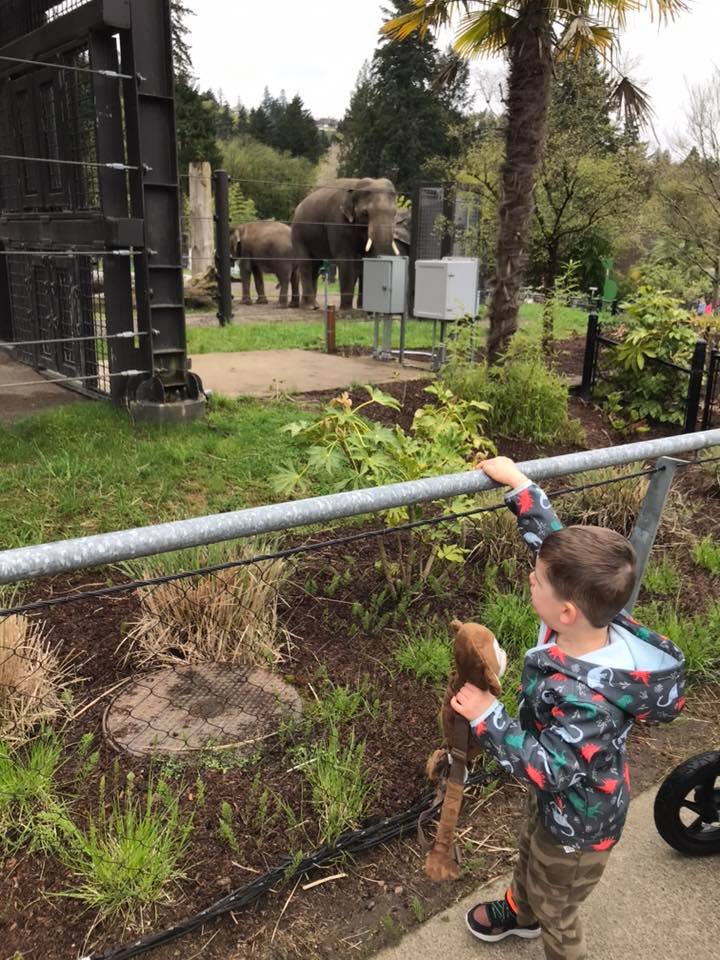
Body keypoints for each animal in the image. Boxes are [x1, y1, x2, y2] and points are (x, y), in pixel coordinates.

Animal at [291, 177, 400, 310]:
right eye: (365, 213)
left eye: (395, 213)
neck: (356, 186)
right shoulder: (337, 221)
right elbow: (346, 260)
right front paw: (347, 309)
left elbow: (368, 259)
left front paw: (363, 308)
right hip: (298, 233)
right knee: (306, 264)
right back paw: (309, 306)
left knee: (315, 266)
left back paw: (315, 305)